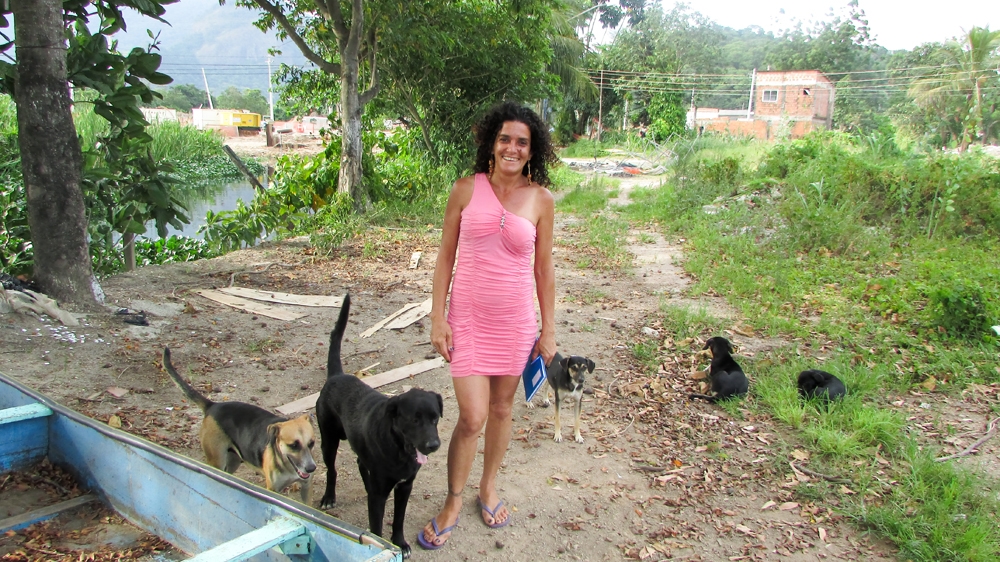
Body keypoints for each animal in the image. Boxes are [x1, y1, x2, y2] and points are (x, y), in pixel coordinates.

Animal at [162, 346, 316, 498]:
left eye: (312, 443)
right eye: (293, 445)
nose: (311, 468)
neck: (287, 465)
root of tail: (212, 405)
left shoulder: (306, 487)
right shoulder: (273, 490)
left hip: (233, 460)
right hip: (217, 461)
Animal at [316, 294, 442, 556]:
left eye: (435, 418)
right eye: (414, 419)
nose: (433, 445)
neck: (399, 451)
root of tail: (336, 375)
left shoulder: (405, 487)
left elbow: (398, 519)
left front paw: (401, 543)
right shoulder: (378, 497)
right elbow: (376, 528)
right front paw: (384, 547)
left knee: (360, 463)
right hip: (328, 440)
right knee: (332, 469)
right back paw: (329, 497)